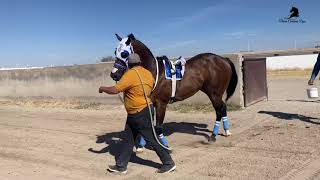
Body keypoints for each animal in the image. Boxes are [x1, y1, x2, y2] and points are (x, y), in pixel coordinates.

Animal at [110, 33, 238, 146]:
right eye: (115, 51)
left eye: (124, 53)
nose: (114, 75)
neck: (155, 73)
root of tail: (223, 59)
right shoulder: (150, 103)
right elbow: (148, 124)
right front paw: (141, 146)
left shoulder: (161, 103)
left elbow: (158, 126)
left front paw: (164, 145)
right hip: (213, 92)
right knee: (223, 107)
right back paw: (226, 131)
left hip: (214, 93)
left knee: (219, 110)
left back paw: (213, 136)